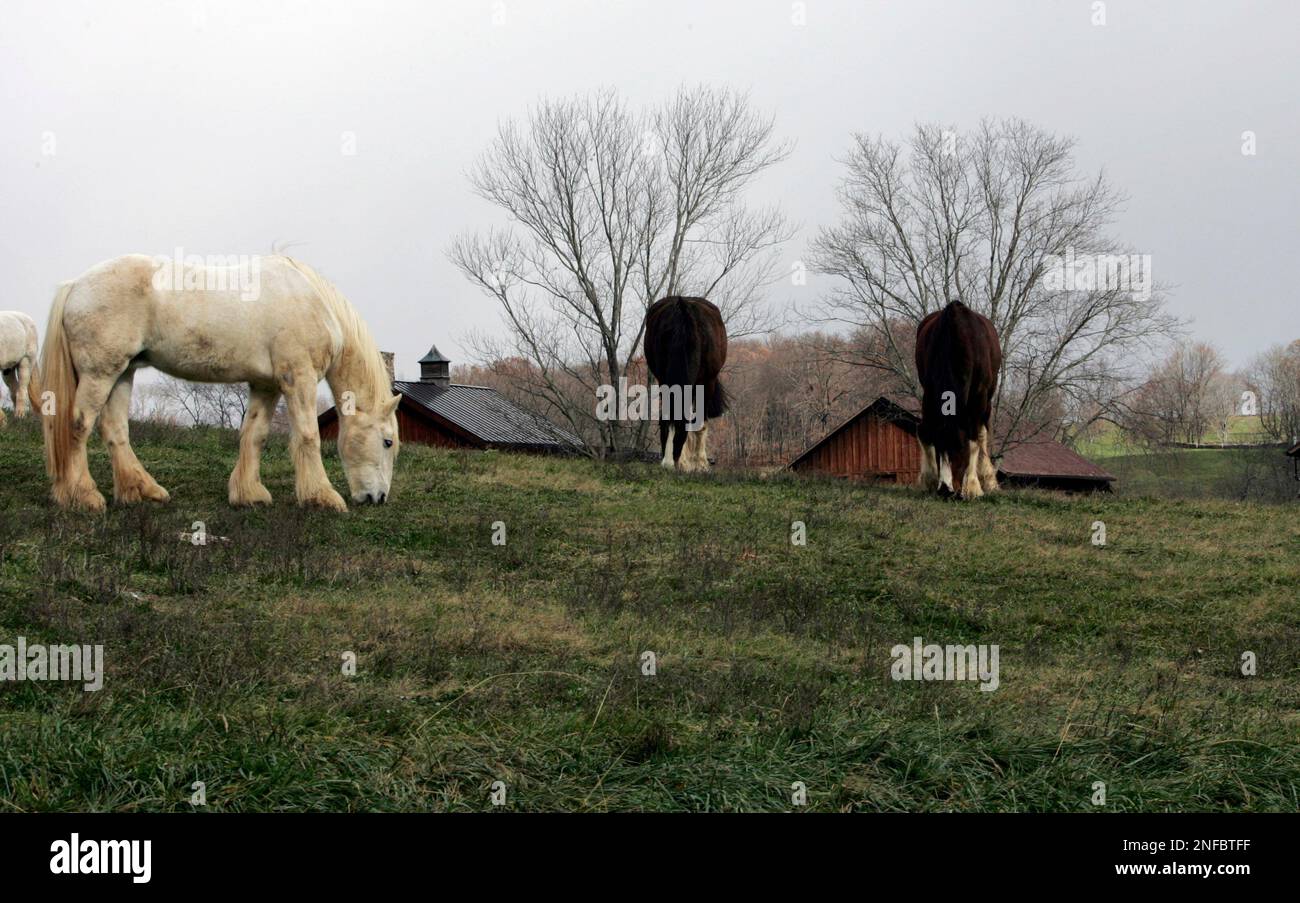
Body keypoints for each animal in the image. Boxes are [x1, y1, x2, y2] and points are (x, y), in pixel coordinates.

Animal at [40, 254, 399, 512]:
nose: (378, 498)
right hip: (100, 373)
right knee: (79, 425)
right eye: (387, 442)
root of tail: (75, 285)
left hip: (122, 372)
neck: (312, 301)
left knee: (114, 430)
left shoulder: (266, 385)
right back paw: (83, 496)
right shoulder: (299, 377)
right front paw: (323, 496)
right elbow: (308, 436)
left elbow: (255, 435)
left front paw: (249, 494)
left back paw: (142, 490)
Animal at [643, 296, 728, 471]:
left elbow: (700, 423)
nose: (668, 465)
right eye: (663, 427)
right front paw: (685, 462)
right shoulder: (664, 381)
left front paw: (700, 464)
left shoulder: (707, 383)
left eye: (679, 431)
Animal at [914, 300, 1002, 499]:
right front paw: (930, 480)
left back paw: (988, 480)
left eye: (960, 448)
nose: (946, 491)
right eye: (939, 446)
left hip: (987, 400)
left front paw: (973, 486)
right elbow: (925, 432)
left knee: (983, 433)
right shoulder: (930, 394)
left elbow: (975, 439)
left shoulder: (979, 397)